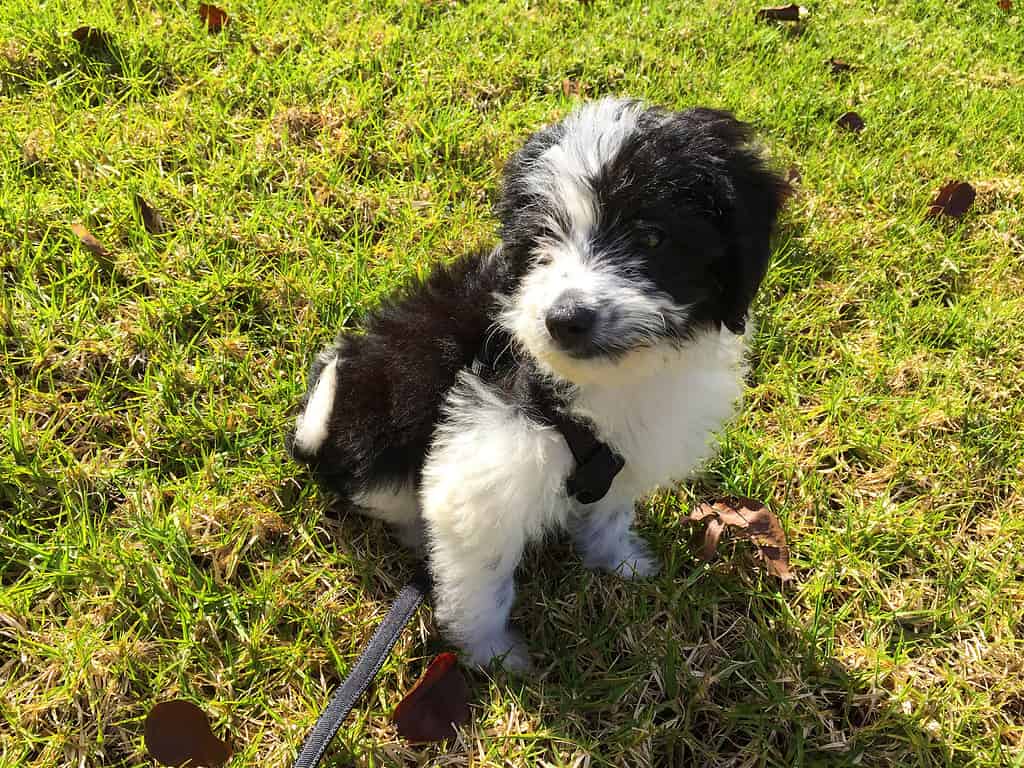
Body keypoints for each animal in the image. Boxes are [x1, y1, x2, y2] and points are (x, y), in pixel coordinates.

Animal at [288, 99, 782, 671]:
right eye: (542, 241)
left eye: (652, 237)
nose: (565, 319)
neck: (602, 384)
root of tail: (321, 431)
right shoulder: (479, 465)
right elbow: (482, 577)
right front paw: (493, 654)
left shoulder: (623, 457)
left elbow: (609, 513)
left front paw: (619, 562)